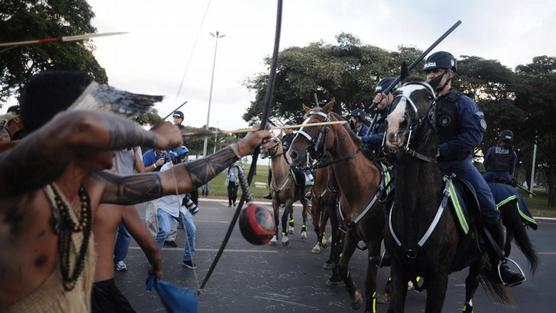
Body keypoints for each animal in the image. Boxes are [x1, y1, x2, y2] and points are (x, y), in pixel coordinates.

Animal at [286, 98, 386, 310]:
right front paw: (332, 266)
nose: (292, 154)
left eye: (316, 125)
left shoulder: (372, 237)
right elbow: (325, 234)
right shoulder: (330, 213)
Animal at [382, 75, 516, 310]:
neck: (415, 210)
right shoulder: (399, 270)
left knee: (470, 293)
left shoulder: (439, 278)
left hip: (478, 263)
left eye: (428, 97)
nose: (395, 125)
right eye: (396, 93)